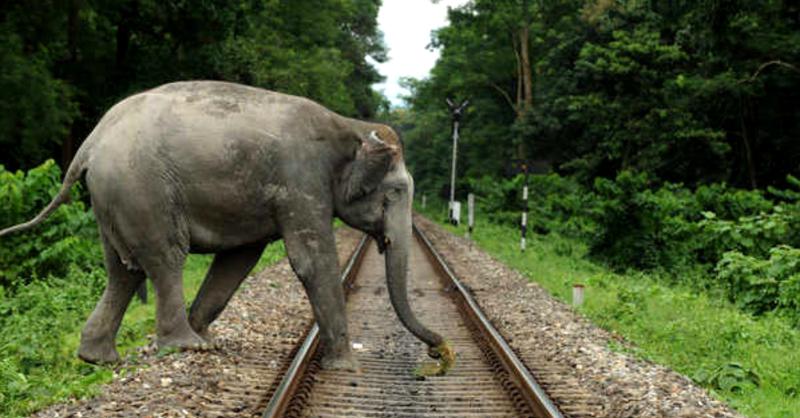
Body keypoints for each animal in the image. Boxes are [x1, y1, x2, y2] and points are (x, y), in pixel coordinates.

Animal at [0, 81, 450, 372]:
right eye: (395, 192)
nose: (440, 353)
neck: (350, 126)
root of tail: (90, 143)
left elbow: (239, 259)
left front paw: (209, 335)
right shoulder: (301, 181)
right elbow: (311, 260)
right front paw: (347, 365)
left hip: (112, 197)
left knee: (123, 272)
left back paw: (102, 357)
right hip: (141, 189)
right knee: (165, 258)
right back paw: (184, 347)